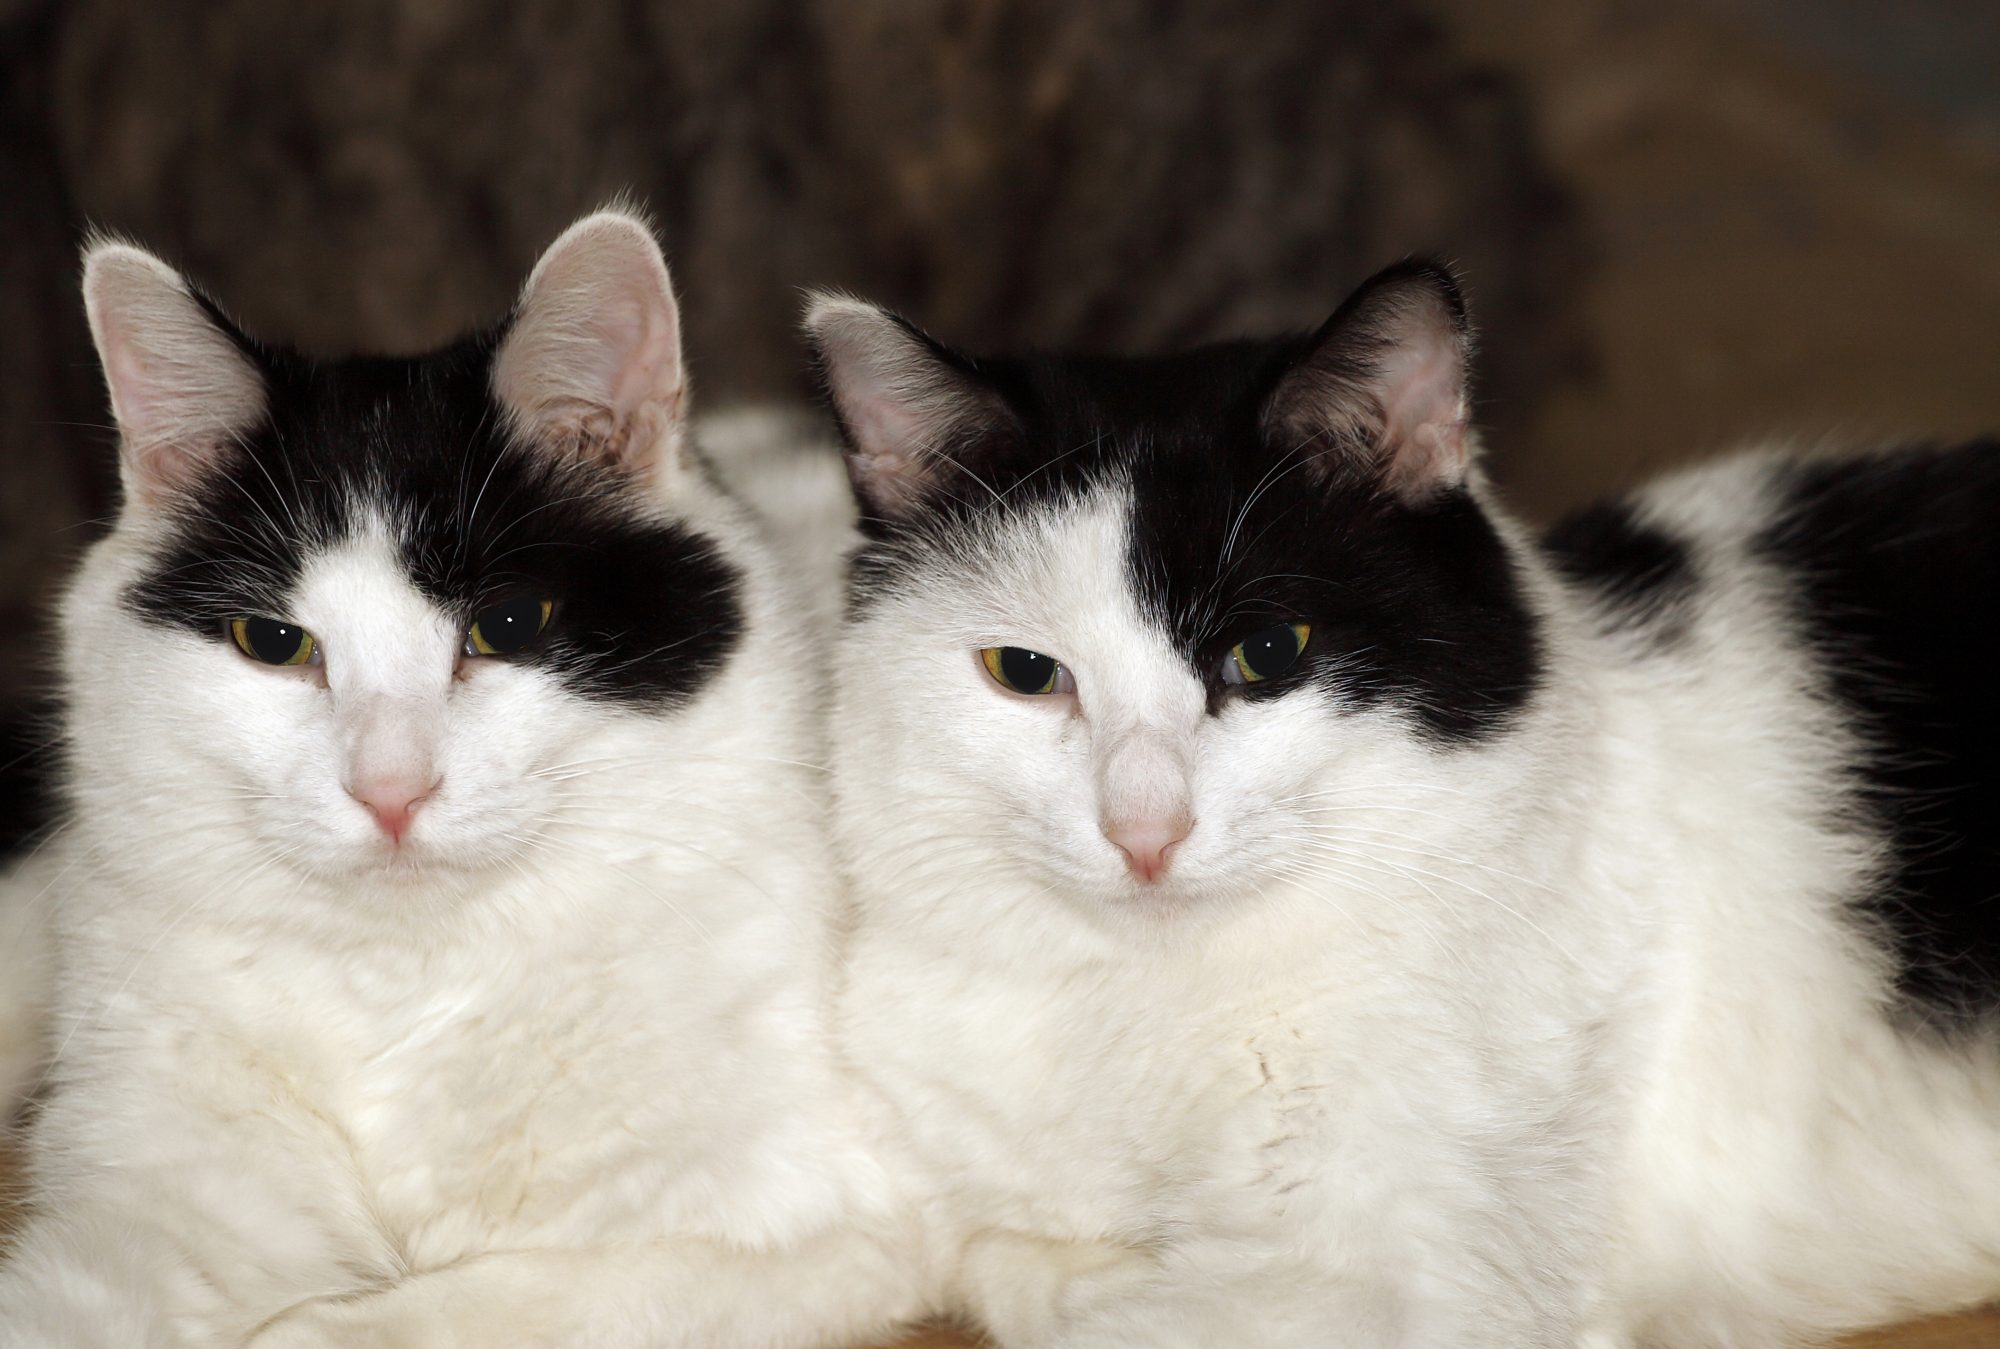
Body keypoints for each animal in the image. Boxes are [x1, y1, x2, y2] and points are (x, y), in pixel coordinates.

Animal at [0, 210, 920, 1344]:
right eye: (274, 642)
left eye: (508, 625)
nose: (389, 789)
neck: (412, 976)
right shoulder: (163, 1191)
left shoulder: (831, 1227)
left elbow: (491, 1299)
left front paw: (316, 1329)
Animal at [800, 266, 2000, 1344]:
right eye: (1023, 671)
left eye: (1268, 652)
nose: (1145, 831)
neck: (1145, 1000)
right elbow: (998, 1253)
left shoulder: (1395, 1287)